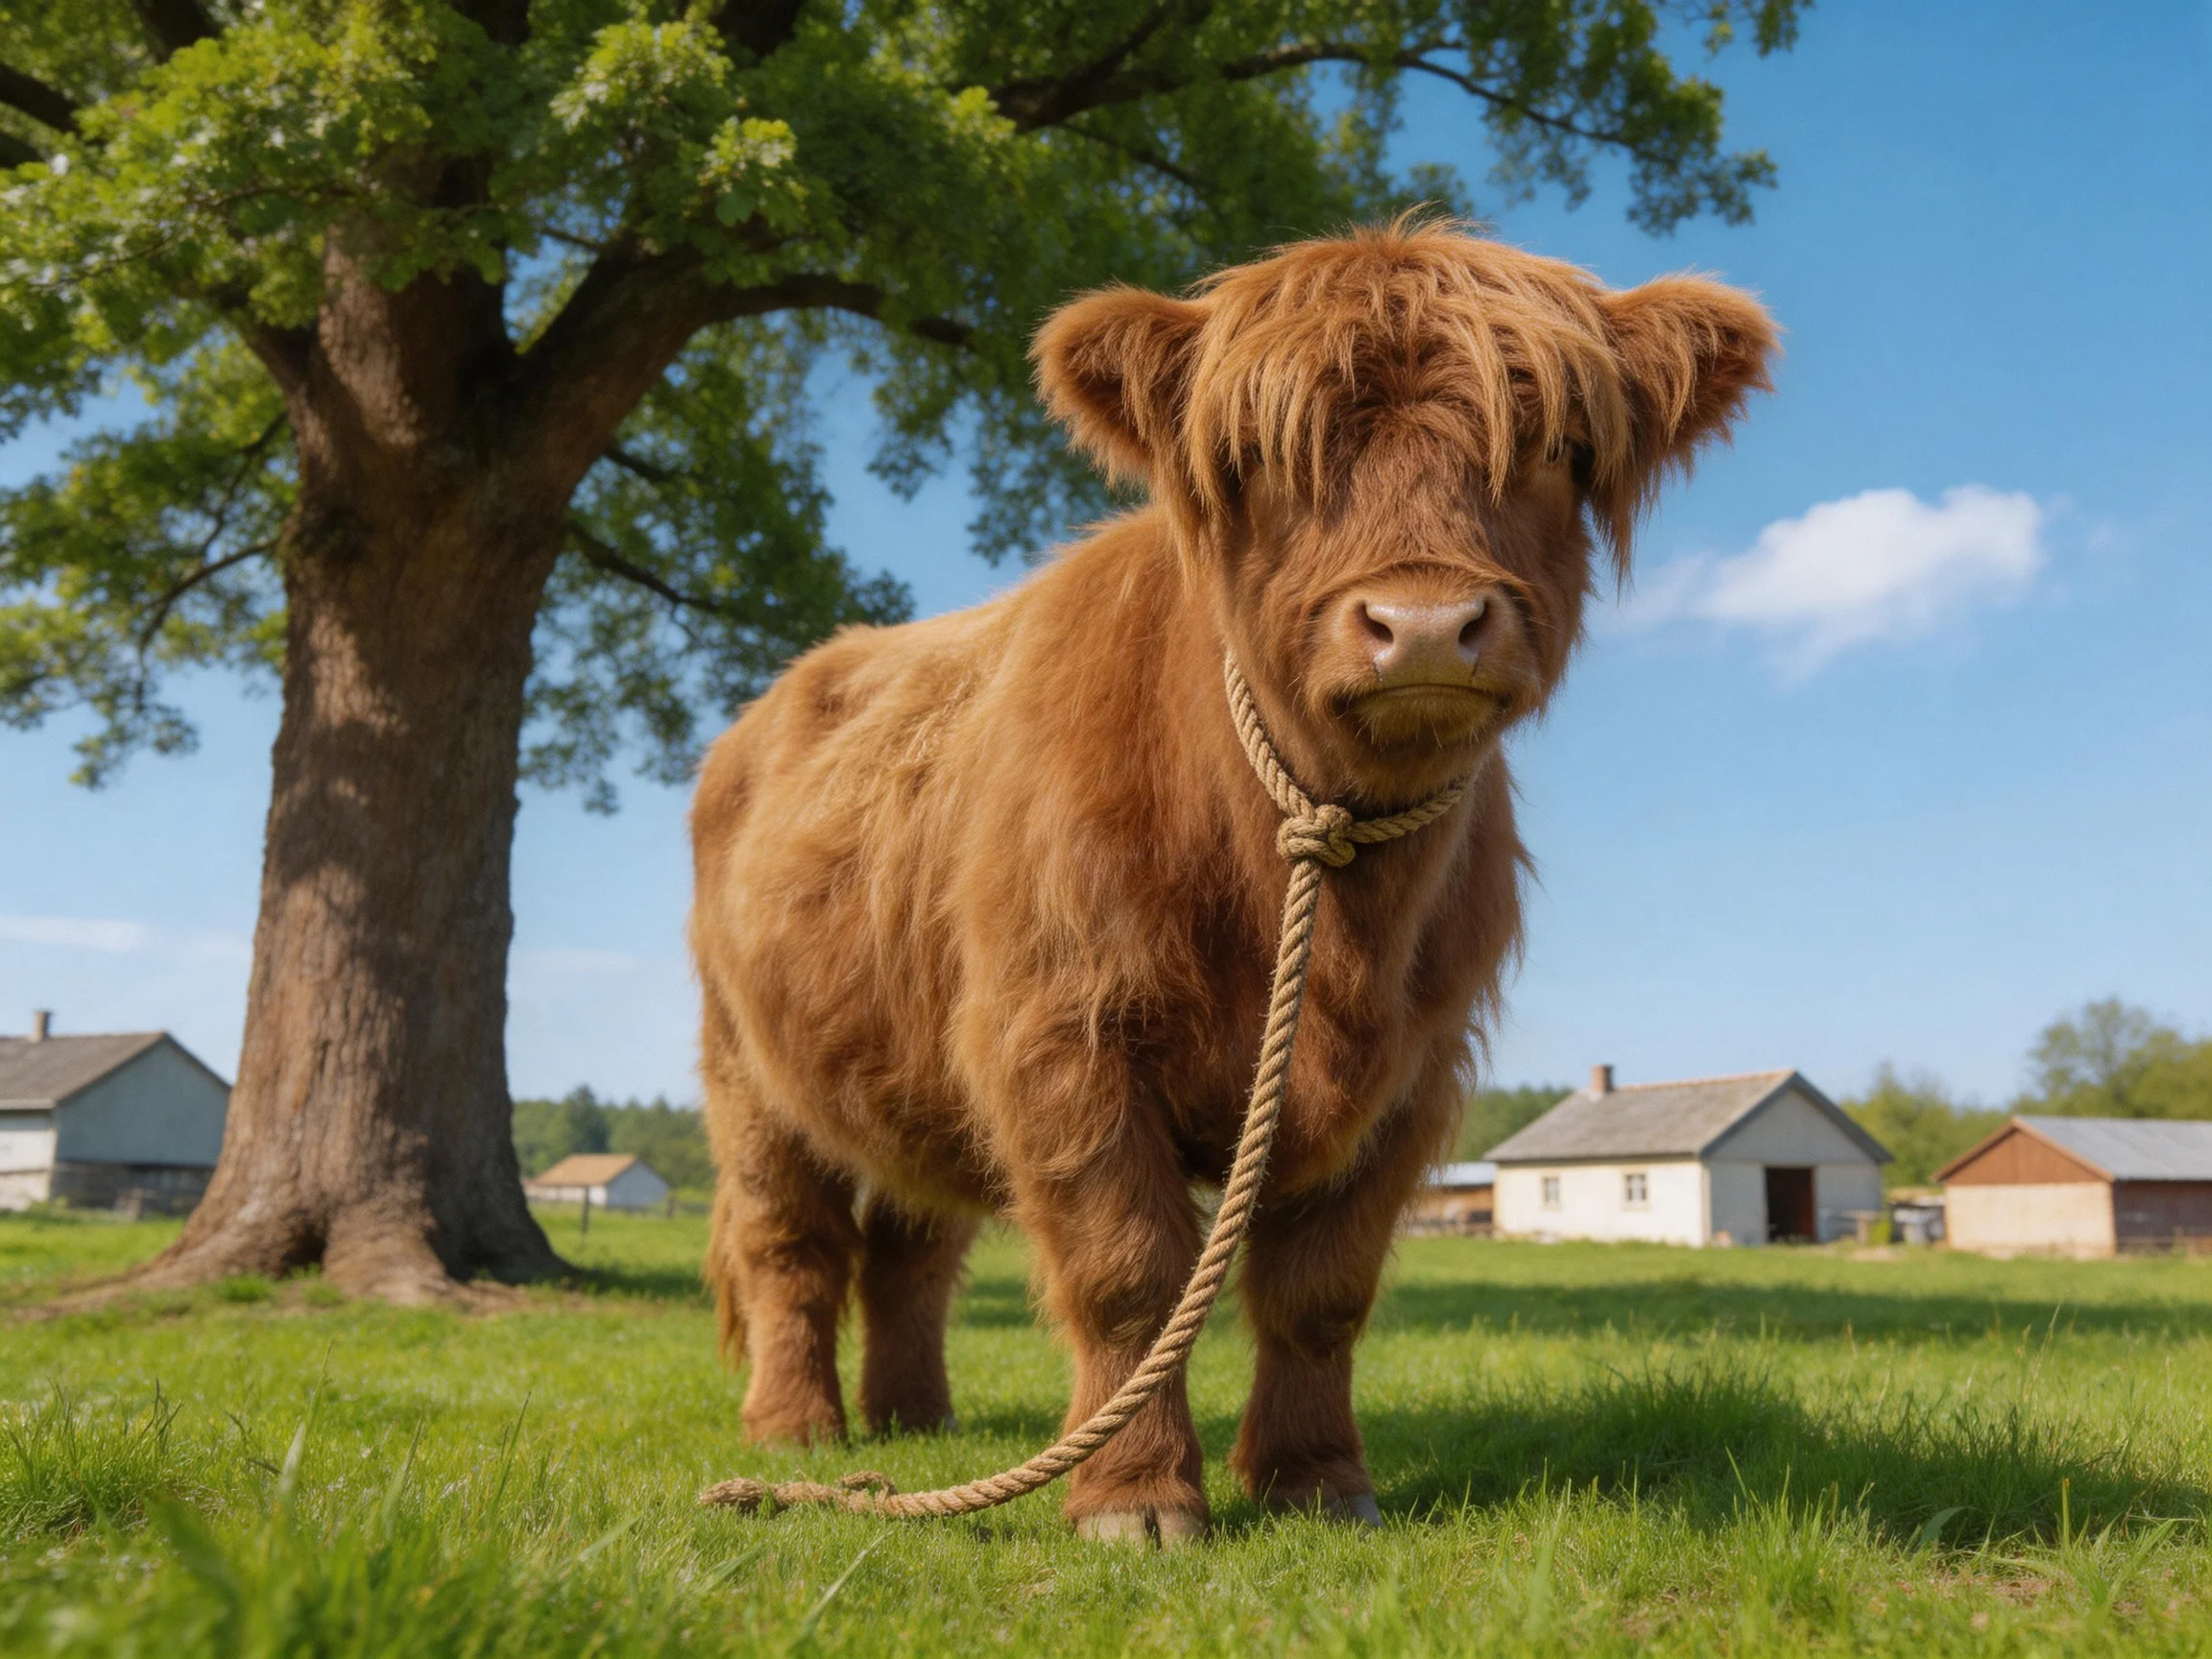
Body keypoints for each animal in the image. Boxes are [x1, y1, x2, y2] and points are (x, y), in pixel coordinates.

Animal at [690, 220, 1776, 1544]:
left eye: (1551, 448)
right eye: (1266, 457)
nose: (1423, 624)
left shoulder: (1411, 1072)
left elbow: (1323, 1289)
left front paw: (1318, 1482)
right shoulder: (1060, 1036)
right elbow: (1129, 1275)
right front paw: (1136, 1498)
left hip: (905, 1072)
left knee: (910, 1247)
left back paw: (916, 1424)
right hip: (748, 1075)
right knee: (789, 1247)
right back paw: (793, 1429)